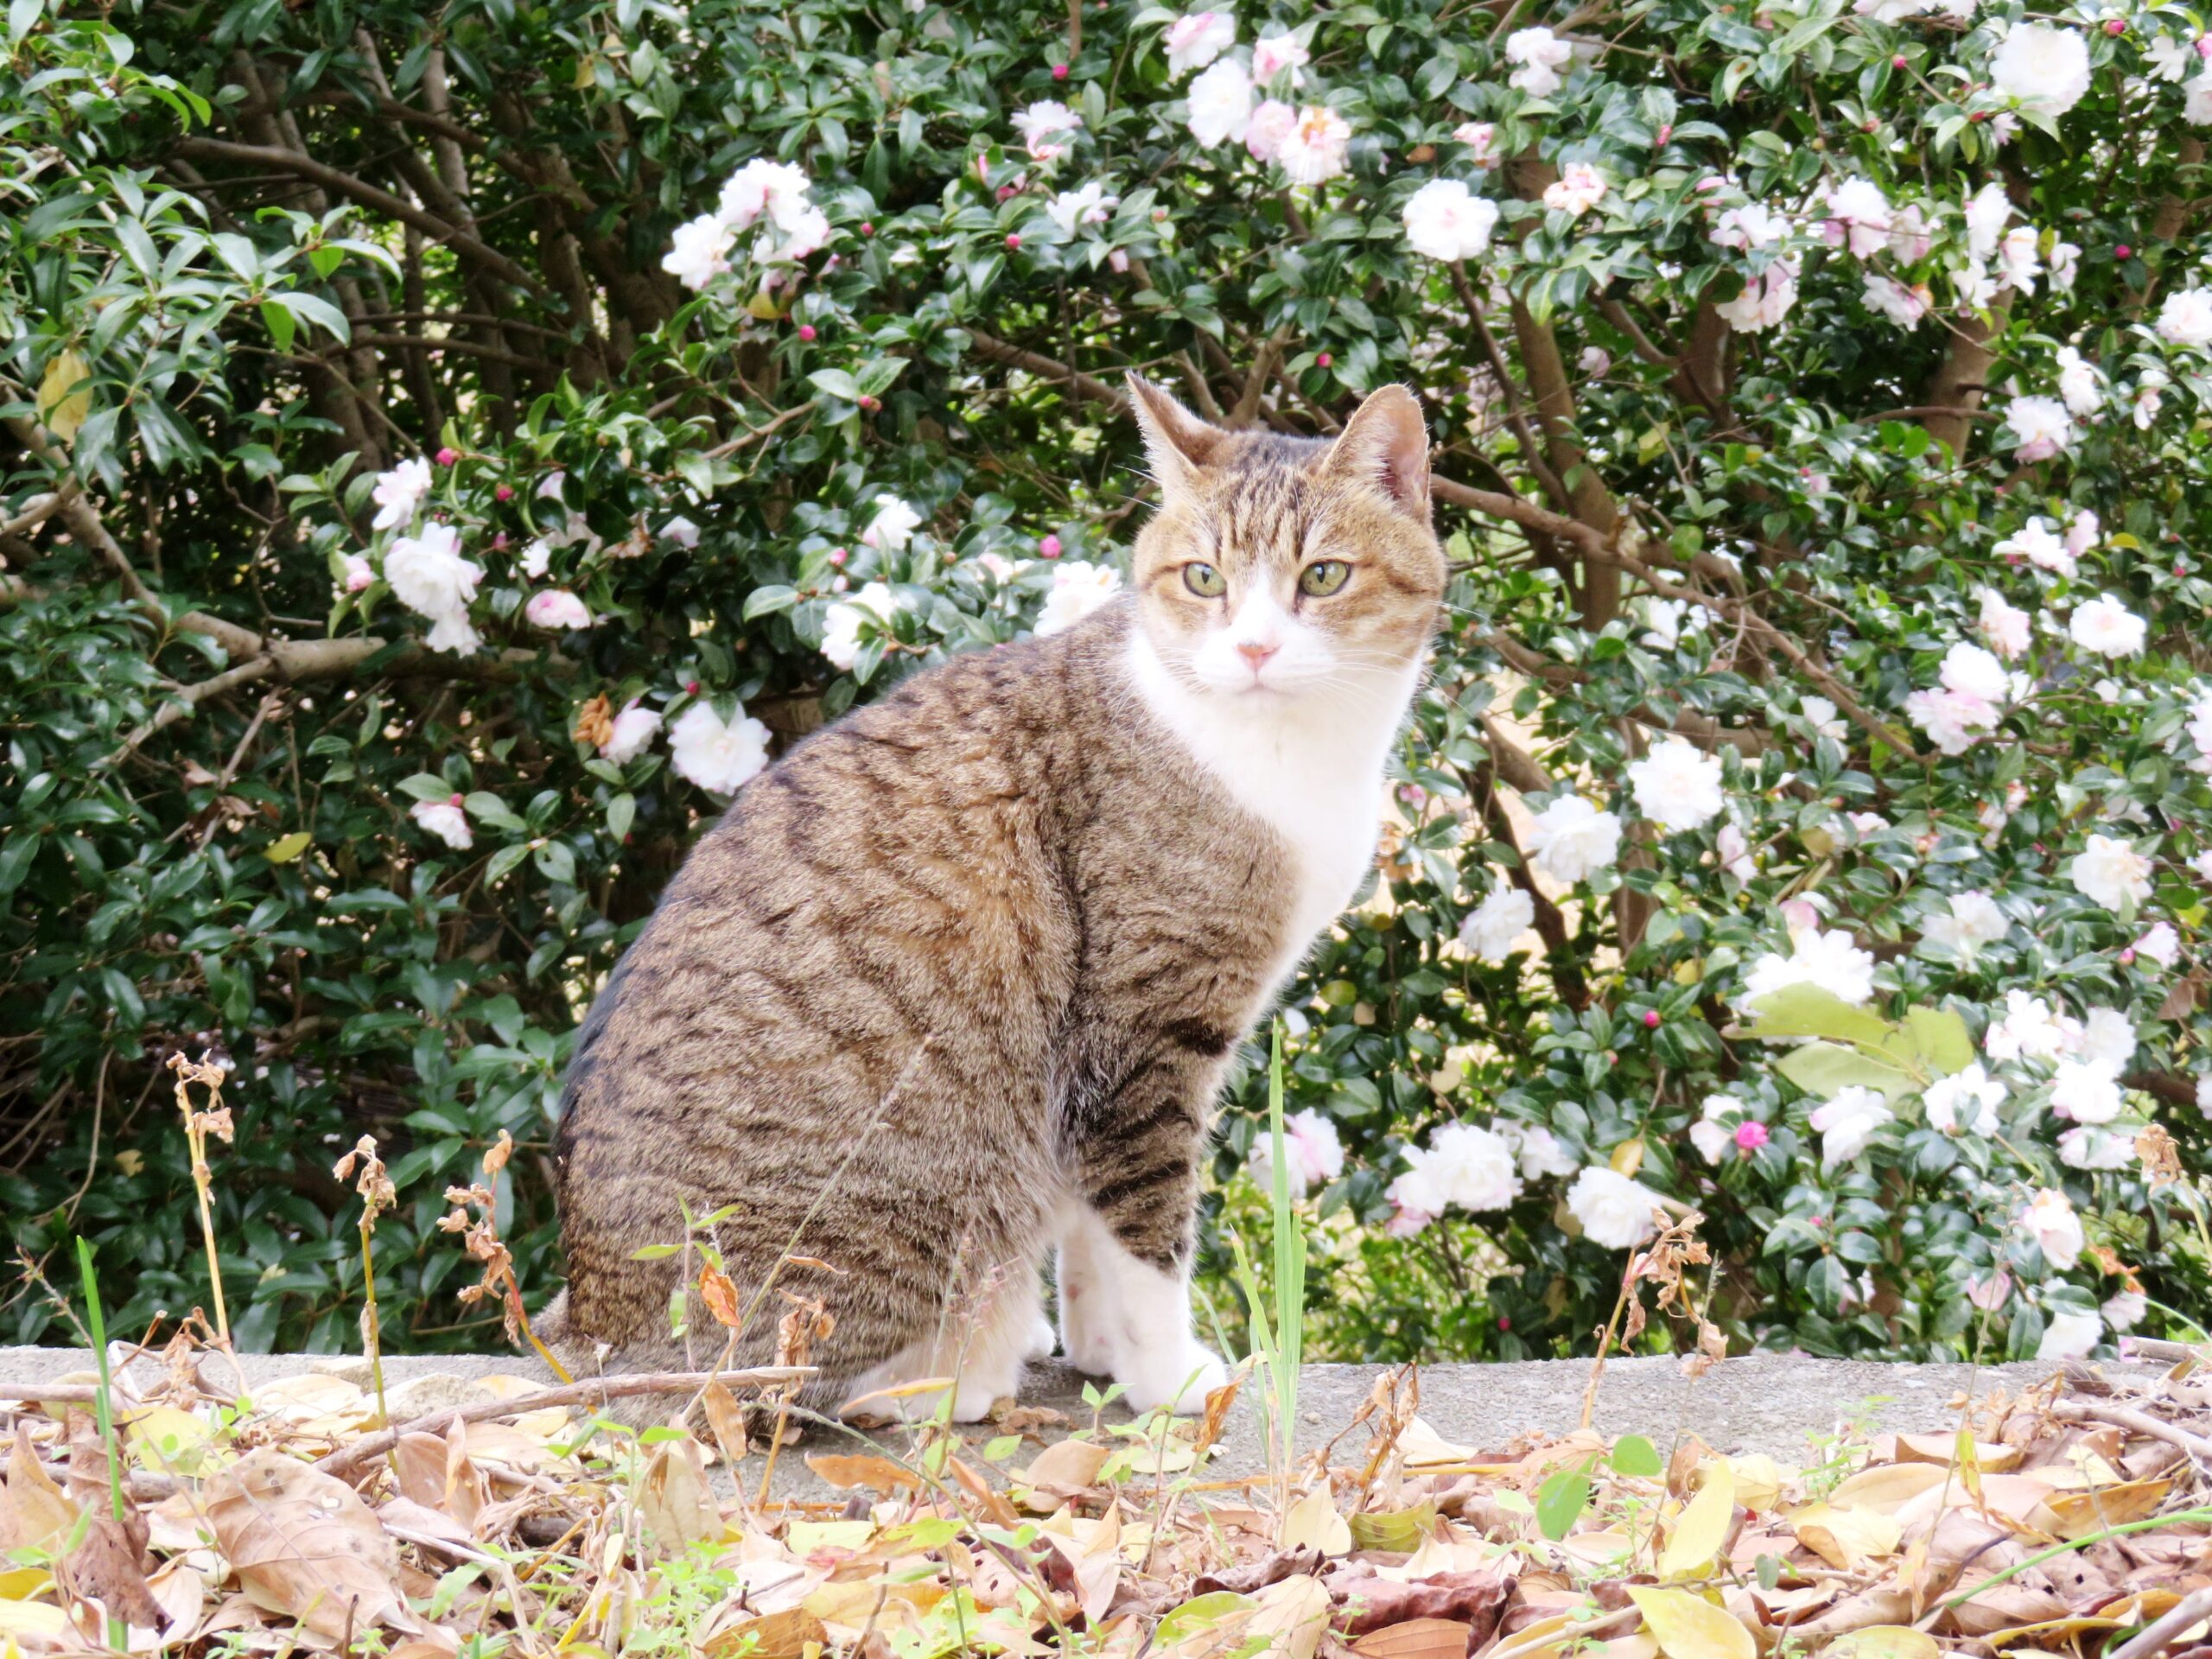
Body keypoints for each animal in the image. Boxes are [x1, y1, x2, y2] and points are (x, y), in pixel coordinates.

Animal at [542, 380, 1442, 1433]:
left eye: (1325, 576)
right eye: (1204, 578)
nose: (1255, 646)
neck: (1280, 750)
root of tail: (589, 1327)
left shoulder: (1105, 1067)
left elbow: (1092, 1231)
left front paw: (1103, 1354)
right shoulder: (1139, 1034)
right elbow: (1147, 1230)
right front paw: (1170, 1378)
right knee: (786, 1384)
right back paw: (962, 1368)